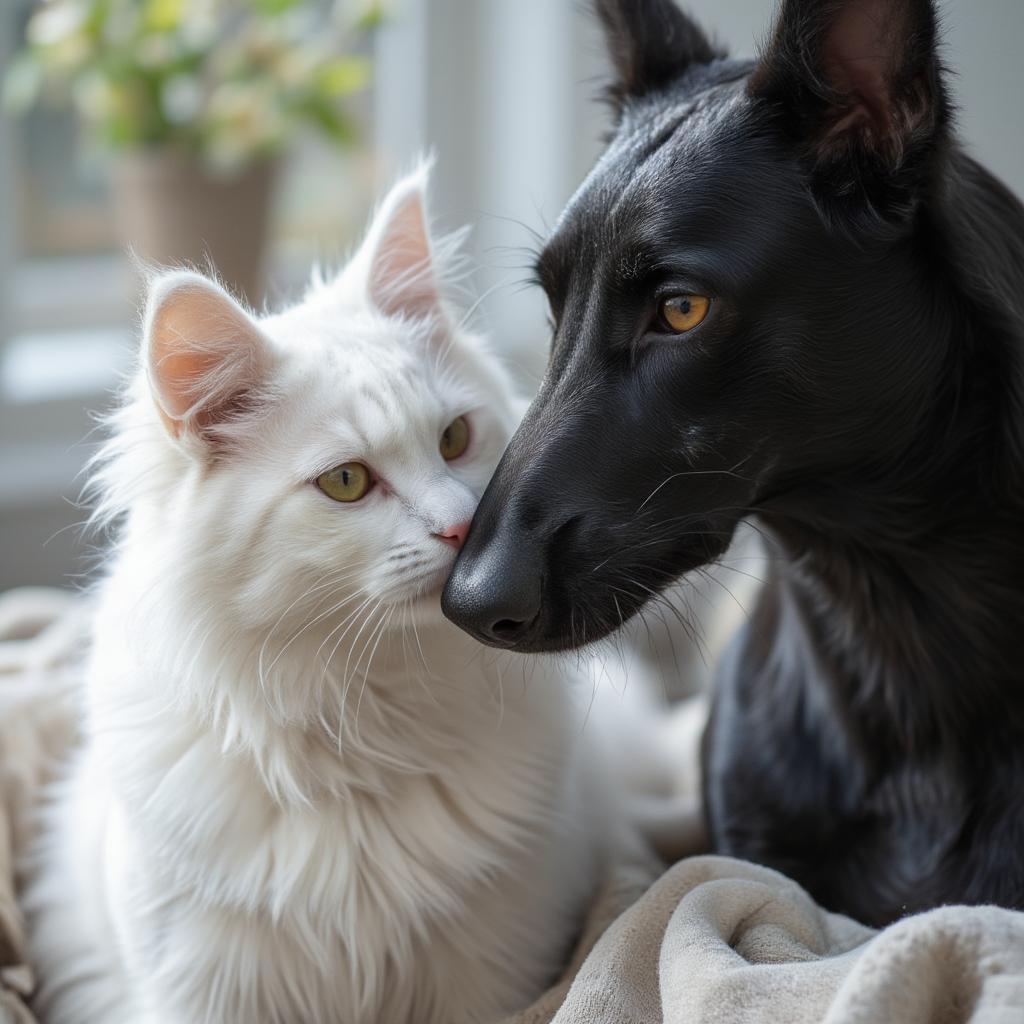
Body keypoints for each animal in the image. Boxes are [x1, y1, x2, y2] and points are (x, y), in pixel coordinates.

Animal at [25, 172, 647, 1024]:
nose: (462, 528)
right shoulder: (203, 985)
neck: (363, 720)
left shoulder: (491, 971)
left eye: (456, 439)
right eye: (346, 482)